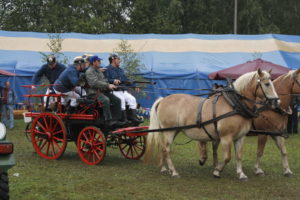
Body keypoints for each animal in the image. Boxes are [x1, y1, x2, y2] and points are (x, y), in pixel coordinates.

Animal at [143, 69, 278, 180]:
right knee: (166, 149)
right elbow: (227, 157)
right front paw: (217, 171)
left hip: (173, 130)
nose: (276, 102)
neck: (234, 105)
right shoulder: (226, 137)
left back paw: (163, 168)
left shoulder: (240, 137)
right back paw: (174, 172)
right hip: (169, 131)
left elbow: (239, 156)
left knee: (163, 148)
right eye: (267, 84)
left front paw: (241, 174)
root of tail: (163, 100)